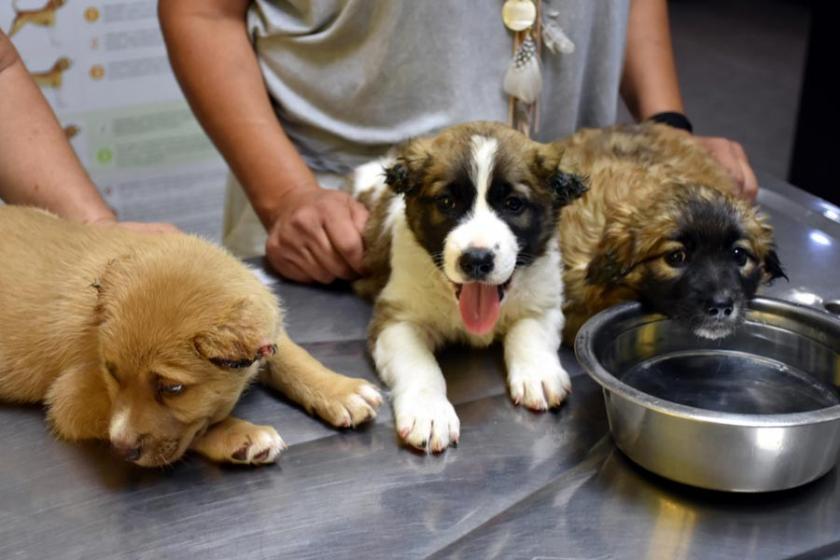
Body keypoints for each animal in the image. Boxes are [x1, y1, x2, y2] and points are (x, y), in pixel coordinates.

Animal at [0, 208, 380, 466]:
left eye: (173, 389)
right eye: (112, 373)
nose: (121, 450)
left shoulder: (263, 330)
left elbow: (291, 356)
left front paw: (339, 391)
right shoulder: (71, 397)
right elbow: (197, 427)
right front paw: (240, 435)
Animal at [348, 120, 584, 452]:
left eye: (513, 204)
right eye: (447, 202)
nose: (477, 259)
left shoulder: (543, 301)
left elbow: (529, 333)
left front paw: (538, 373)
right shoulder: (396, 319)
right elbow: (418, 363)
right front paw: (428, 411)